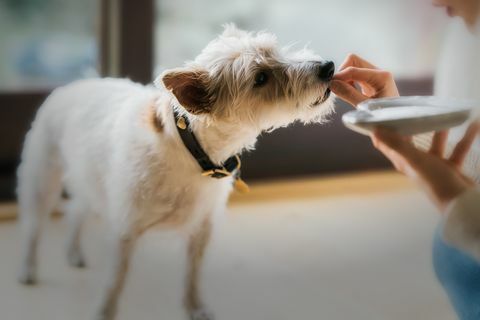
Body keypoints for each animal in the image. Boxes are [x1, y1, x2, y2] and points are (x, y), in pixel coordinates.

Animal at [16, 25, 336, 320]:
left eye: (277, 50)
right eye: (260, 78)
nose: (328, 67)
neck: (192, 150)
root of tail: (71, 85)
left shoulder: (201, 229)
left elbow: (192, 275)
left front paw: (195, 308)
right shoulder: (124, 231)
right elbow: (115, 281)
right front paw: (104, 312)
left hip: (89, 180)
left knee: (77, 211)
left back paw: (73, 253)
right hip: (42, 182)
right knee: (33, 227)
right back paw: (28, 269)